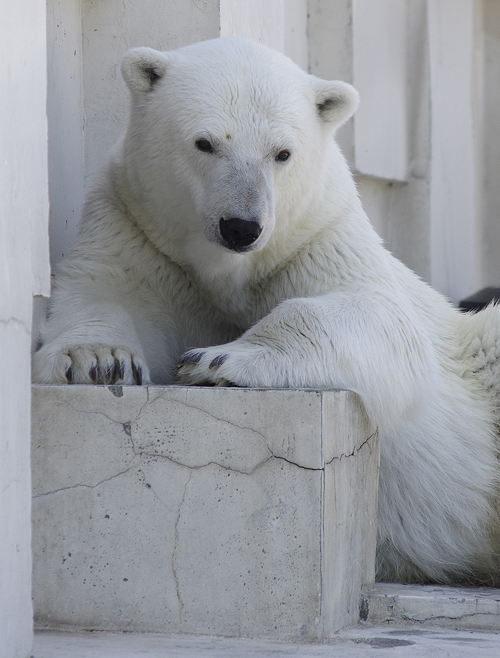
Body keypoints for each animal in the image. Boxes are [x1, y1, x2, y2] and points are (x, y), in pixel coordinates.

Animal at [33, 36, 500, 580]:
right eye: (205, 142)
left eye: (282, 153)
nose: (242, 226)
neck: (230, 270)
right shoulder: (136, 231)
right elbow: (102, 290)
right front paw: (101, 361)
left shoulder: (318, 239)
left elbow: (385, 321)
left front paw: (217, 359)